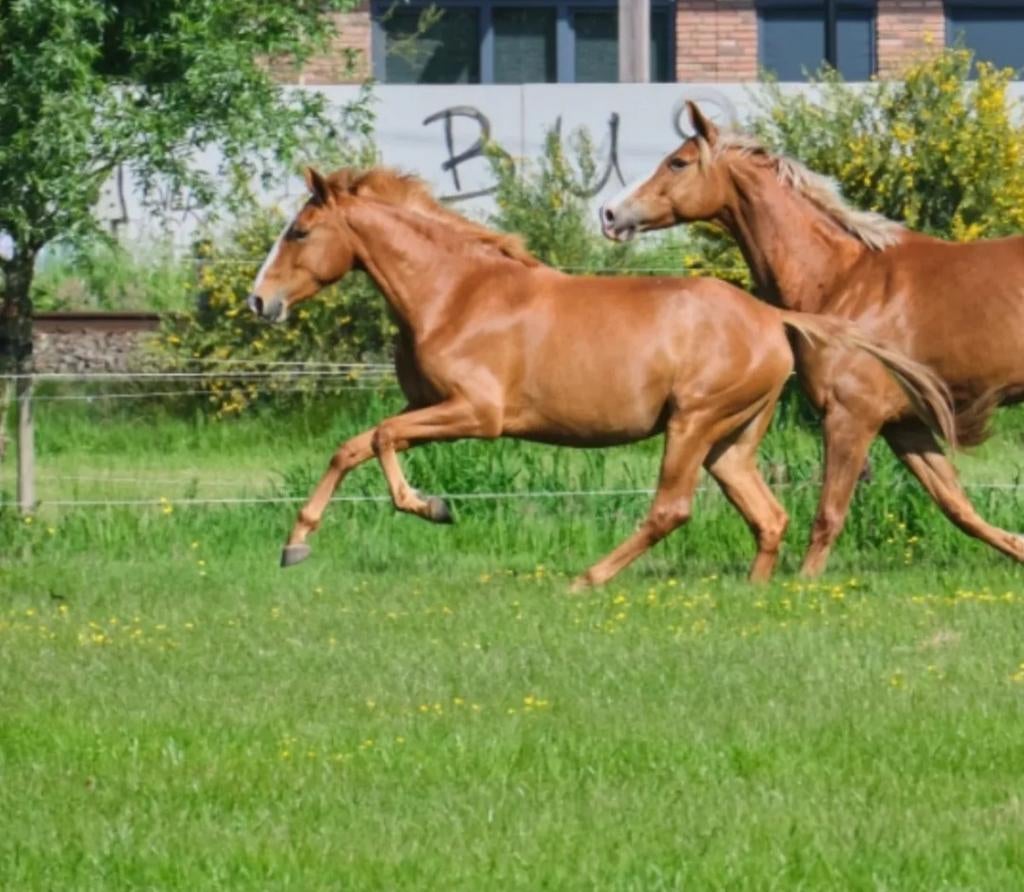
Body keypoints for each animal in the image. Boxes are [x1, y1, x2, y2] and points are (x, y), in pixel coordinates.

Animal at [245, 165, 954, 588]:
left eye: (300, 231)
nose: (259, 301)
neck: (457, 294)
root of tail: (772, 316)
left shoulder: (477, 414)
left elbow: (383, 437)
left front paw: (432, 507)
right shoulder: (435, 409)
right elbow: (352, 446)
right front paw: (296, 544)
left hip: (692, 424)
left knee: (670, 509)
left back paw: (586, 580)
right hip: (730, 441)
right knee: (769, 514)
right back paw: (754, 592)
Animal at [600, 101, 1024, 577]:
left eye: (678, 162)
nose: (611, 215)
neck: (843, 279)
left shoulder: (849, 416)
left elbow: (828, 516)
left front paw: (803, 584)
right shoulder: (904, 424)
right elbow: (958, 506)